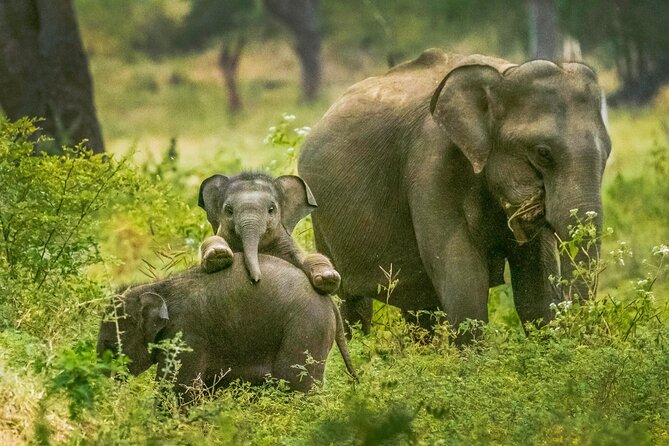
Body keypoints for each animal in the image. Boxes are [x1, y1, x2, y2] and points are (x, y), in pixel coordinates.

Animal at [97, 254, 357, 401]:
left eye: (110, 345)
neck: (158, 286)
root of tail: (329, 302)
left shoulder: (187, 334)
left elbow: (179, 389)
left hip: (306, 328)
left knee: (296, 384)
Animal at [198, 172, 340, 295]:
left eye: (271, 209)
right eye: (229, 211)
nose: (255, 280)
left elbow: (309, 258)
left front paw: (328, 277)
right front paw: (219, 254)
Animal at [298, 49, 611, 335]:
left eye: (607, 153)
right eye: (543, 153)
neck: (504, 75)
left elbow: (536, 289)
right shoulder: (431, 166)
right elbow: (462, 278)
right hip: (322, 220)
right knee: (352, 302)